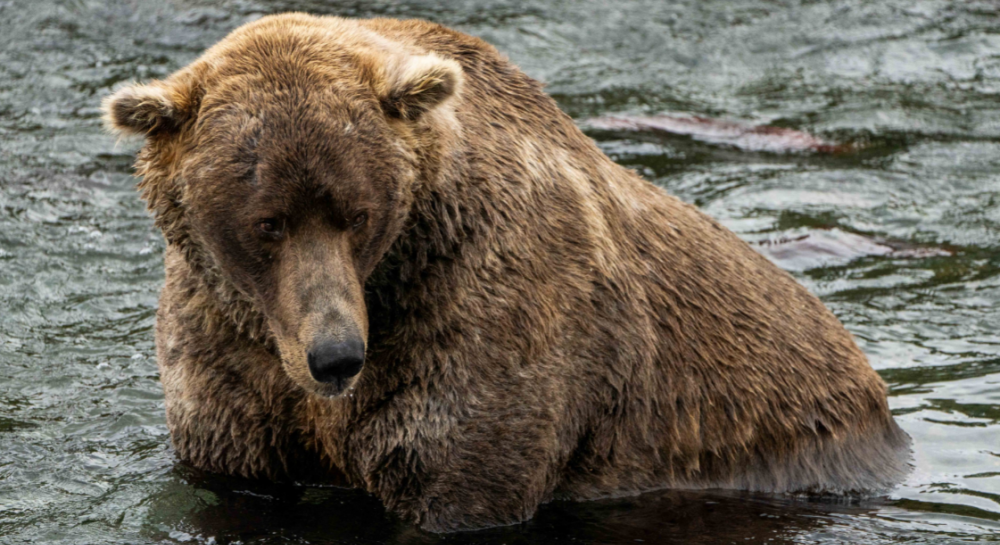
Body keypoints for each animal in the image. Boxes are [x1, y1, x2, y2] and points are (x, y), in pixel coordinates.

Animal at [103, 12, 916, 532]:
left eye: (355, 213)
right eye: (267, 221)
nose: (335, 356)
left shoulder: (485, 319)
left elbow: (460, 469)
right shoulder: (227, 350)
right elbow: (233, 468)